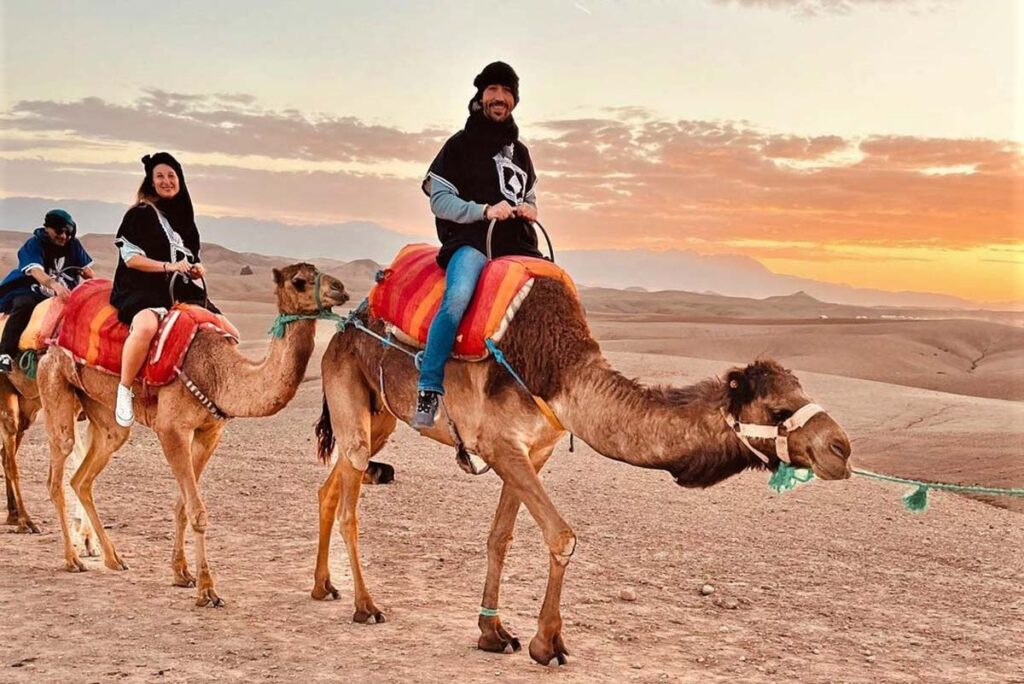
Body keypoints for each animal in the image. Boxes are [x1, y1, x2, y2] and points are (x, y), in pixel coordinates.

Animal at [36, 264, 350, 606]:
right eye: (299, 281)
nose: (340, 289)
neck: (218, 373)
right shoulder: (171, 430)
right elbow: (197, 509)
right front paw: (207, 589)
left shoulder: (209, 432)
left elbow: (182, 504)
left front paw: (181, 573)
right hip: (55, 382)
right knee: (57, 472)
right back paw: (72, 559)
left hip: (105, 417)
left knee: (84, 477)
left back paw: (113, 558)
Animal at [313, 274, 856, 663]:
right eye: (779, 410)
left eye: (800, 392)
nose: (841, 448)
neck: (561, 374)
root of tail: (345, 326)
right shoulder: (499, 445)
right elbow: (562, 536)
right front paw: (548, 644)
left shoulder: (533, 451)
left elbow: (500, 537)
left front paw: (493, 632)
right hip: (350, 394)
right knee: (350, 499)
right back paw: (366, 606)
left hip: (382, 413)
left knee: (330, 488)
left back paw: (323, 588)